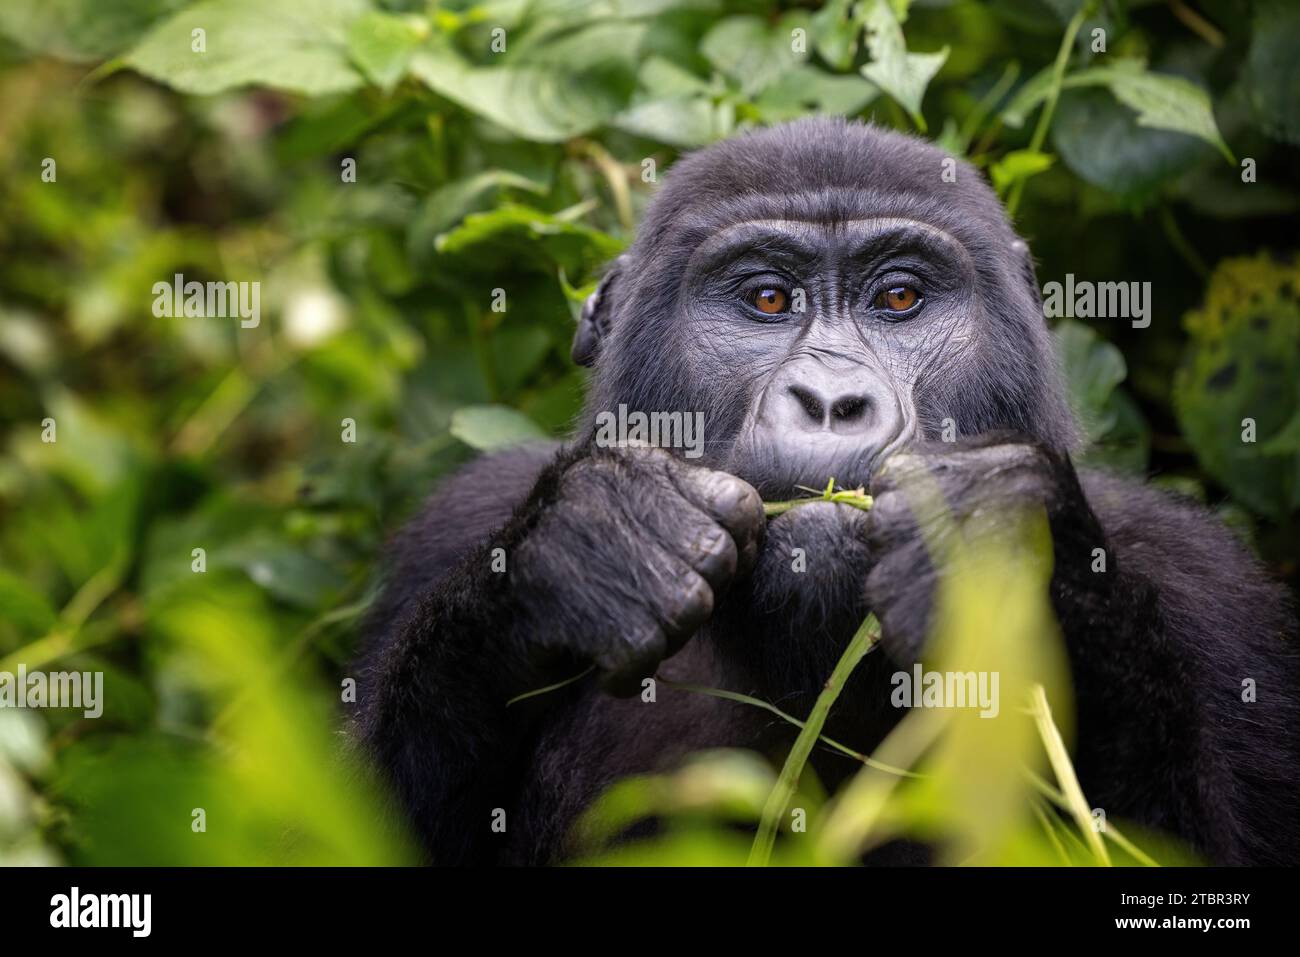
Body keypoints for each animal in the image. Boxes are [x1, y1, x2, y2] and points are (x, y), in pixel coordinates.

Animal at [353, 115, 1300, 863]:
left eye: (901, 296)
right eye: (769, 298)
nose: (831, 400)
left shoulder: (1208, 583)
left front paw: (1008, 545)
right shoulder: (461, 518)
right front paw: (585, 543)